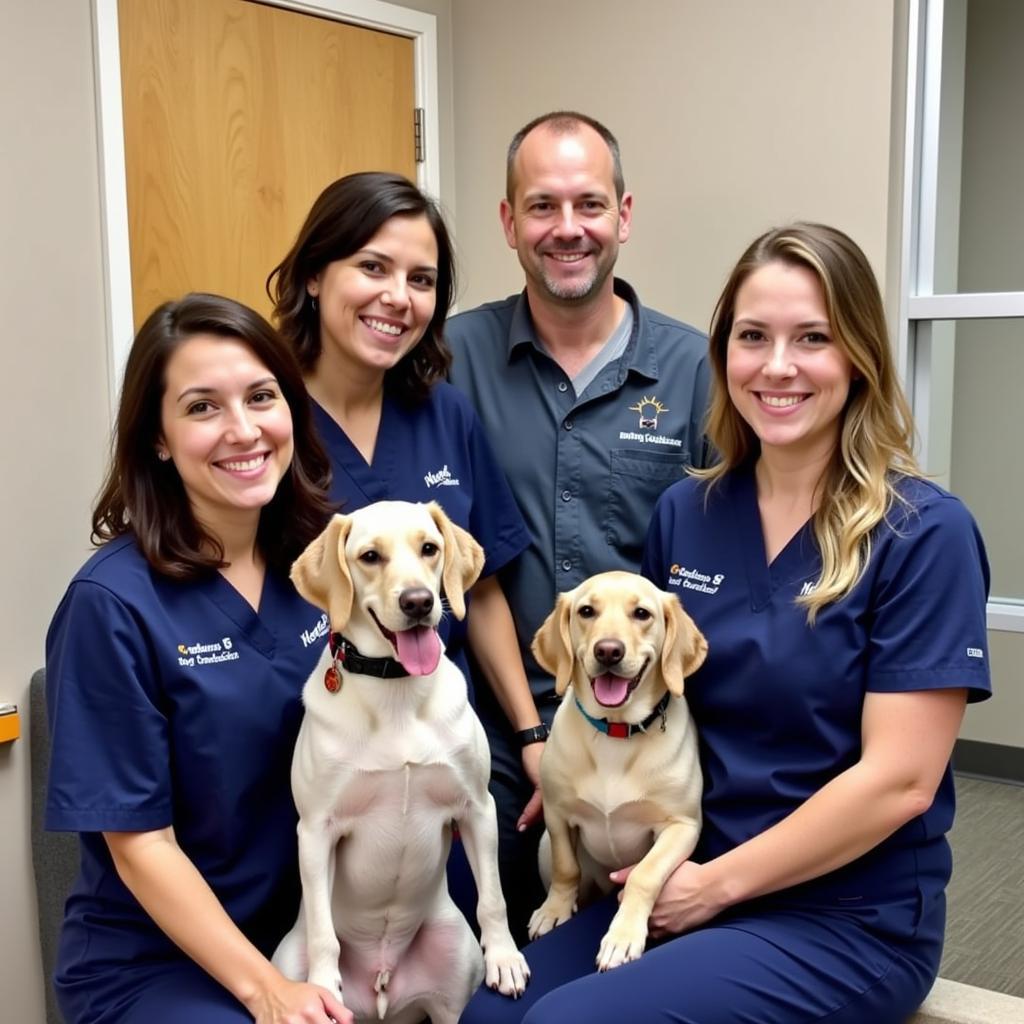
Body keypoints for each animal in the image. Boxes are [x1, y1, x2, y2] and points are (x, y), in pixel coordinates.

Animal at [272, 499, 528, 1019]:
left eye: (429, 548)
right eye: (370, 556)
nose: (418, 602)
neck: (396, 692)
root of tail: (383, 987)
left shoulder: (478, 808)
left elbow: (493, 898)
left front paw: (506, 956)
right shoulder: (316, 829)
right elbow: (325, 935)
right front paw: (325, 986)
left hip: (451, 966)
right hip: (287, 957)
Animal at [528, 573, 704, 970]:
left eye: (642, 614)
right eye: (586, 611)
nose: (608, 651)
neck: (616, 731)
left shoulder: (682, 826)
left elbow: (644, 874)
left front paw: (623, 936)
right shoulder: (556, 814)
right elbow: (566, 868)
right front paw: (554, 910)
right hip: (543, 846)